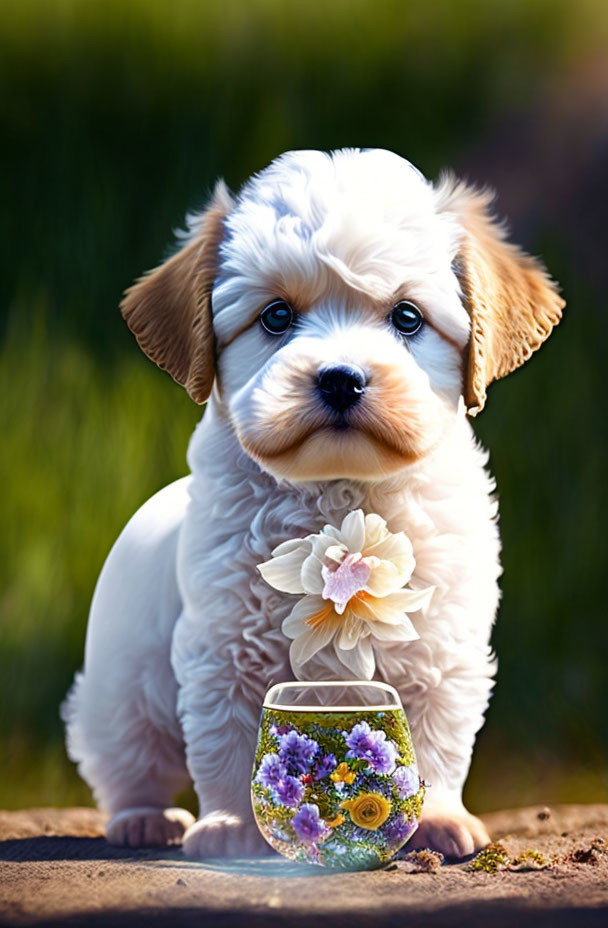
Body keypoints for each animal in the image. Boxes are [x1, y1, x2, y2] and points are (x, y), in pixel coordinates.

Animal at [61, 149, 560, 860]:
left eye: (408, 318)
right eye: (275, 317)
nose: (341, 379)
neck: (338, 493)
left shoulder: (442, 652)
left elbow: (437, 741)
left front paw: (438, 817)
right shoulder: (221, 652)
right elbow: (226, 743)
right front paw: (233, 825)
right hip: (120, 687)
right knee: (128, 762)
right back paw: (144, 818)